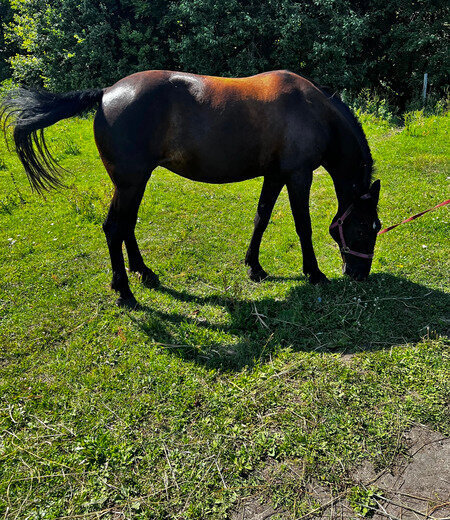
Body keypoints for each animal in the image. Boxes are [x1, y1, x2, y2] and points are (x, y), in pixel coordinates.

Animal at [0, 68, 382, 304]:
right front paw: (314, 273)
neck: (314, 111)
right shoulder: (298, 176)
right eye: (366, 227)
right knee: (113, 227)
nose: (360, 275)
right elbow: (303, 226)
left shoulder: (274, 176)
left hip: (134, 183)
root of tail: (107, 92)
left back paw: (144, 272)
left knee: (126, 226)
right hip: (129, 183)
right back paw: (124, 291)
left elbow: (261, 218)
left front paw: (254, 267)